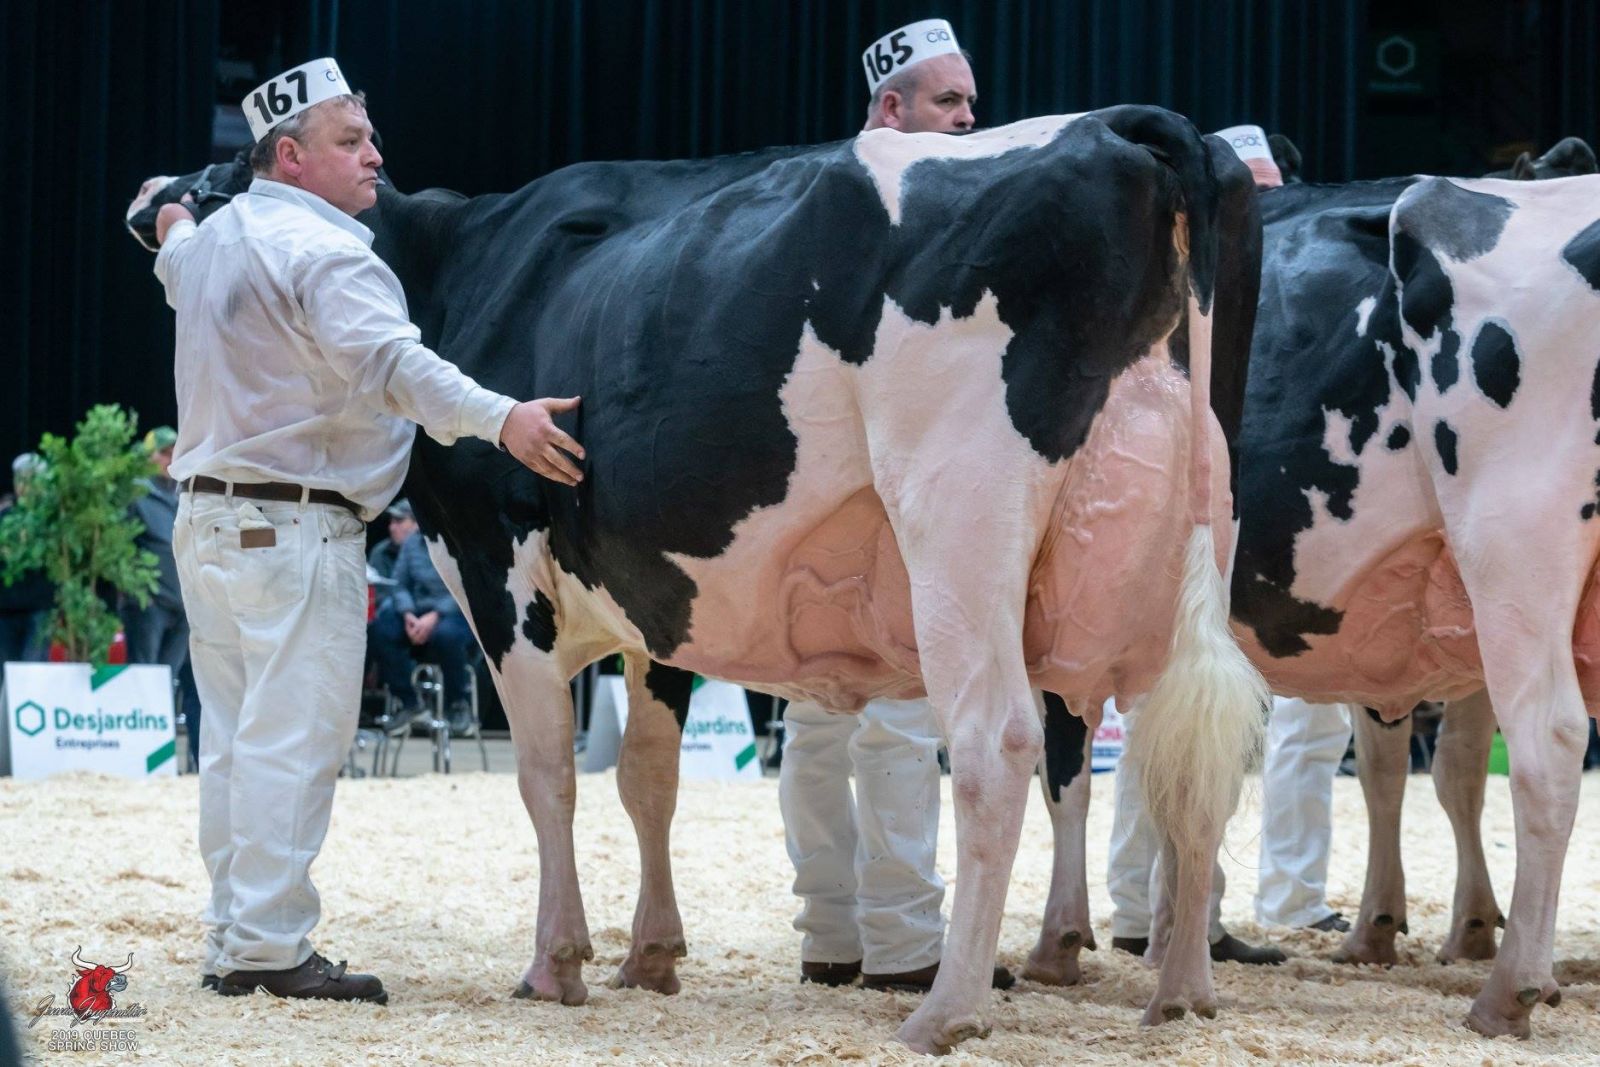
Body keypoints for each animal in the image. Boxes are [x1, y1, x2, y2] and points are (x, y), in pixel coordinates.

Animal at [130, 105, 1267, 1051]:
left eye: (225, 172)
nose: (153, 205)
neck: (459, 258)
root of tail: (1128, 125)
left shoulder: (498, 571)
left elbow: (546, 774)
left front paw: (558, 961)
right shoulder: (656, 601)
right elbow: (647, 774)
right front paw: (650, 953)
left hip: (962, 518)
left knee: (1000, 744)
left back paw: (946, 1007)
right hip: (1188, 537)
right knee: (1184, 752)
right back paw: (1182, 987)